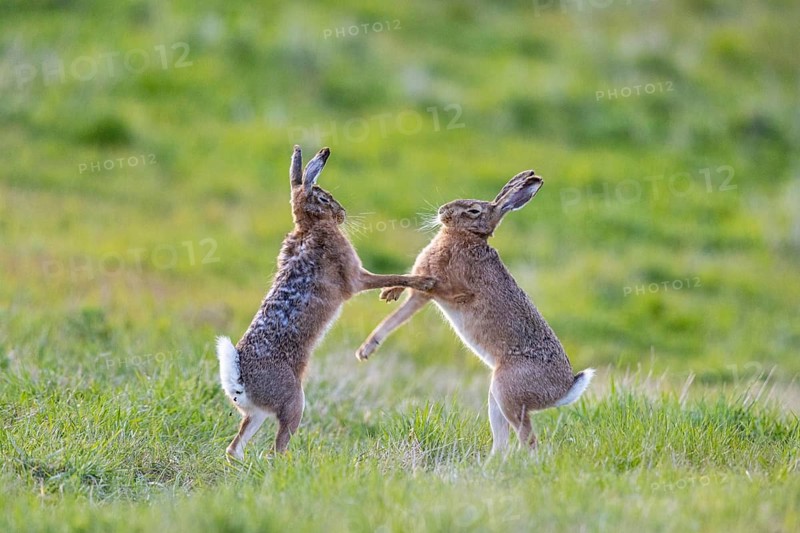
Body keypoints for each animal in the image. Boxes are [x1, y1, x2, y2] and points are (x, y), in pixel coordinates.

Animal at [216, 145, 436, 459]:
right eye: (323, 197)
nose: (342, 214)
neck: (310, 225)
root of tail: (239, 379)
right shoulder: (355, 277)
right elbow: (389, 276)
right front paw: (424, 282)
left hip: (257, 413)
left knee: (234, 447)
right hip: (294, 401)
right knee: (277, 447)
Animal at [356, 170, 593, 454]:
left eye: (473, 210)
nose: (442, 211)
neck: (468, 236)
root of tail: (562, 391)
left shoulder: (438, 288)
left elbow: (401, 312)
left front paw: (365, 349)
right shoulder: (422, 294)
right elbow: (398, 311)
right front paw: (384, 306)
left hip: (507, 392)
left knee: (529, 440)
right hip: (496, 396)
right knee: (503, 440)